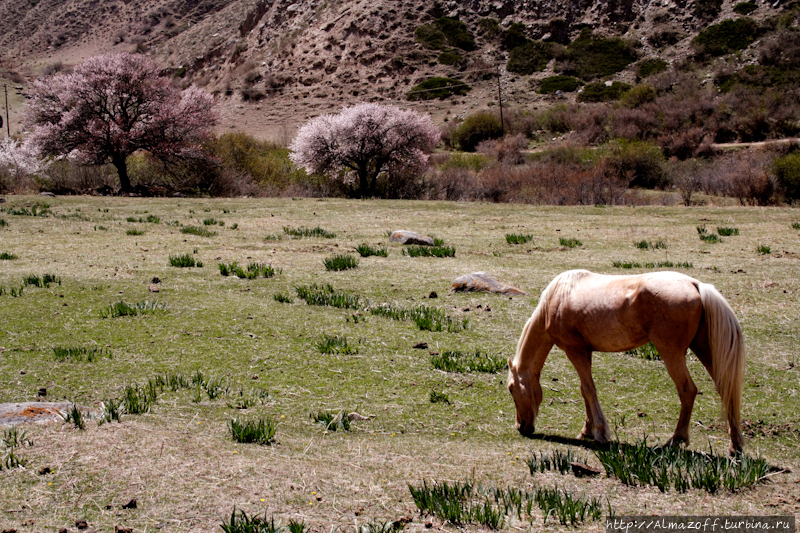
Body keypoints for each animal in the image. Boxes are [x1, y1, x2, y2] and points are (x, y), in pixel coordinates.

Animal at [510, 270, 748, 454]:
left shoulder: (574, 350)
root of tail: (695, 285)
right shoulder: (585, 352)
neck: (557, 298)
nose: (521, 427)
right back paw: (735, 446)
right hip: (704, 348)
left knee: (687, 390)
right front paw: (587, 430)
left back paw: (675, 440)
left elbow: (589, 389)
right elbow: (584, 390)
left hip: (671, 353)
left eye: (511, 389)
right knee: (726, 389)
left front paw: (600, 433)